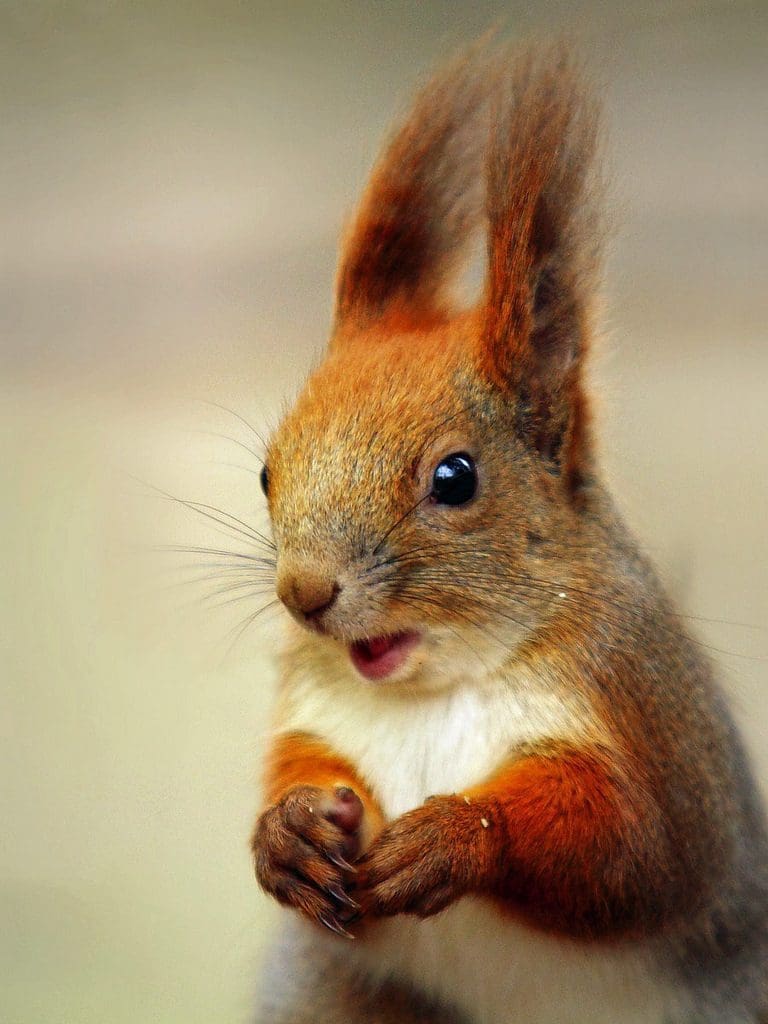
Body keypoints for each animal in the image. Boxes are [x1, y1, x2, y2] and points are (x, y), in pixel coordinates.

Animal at [249, 43, 768, 1024]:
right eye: (267, 470)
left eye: (455, 479)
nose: (305, 594)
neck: (439, 687)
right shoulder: (323, 715)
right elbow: (296, 769)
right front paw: (287, 832)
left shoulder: (647, 719)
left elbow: (629, 848)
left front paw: (454, 834)